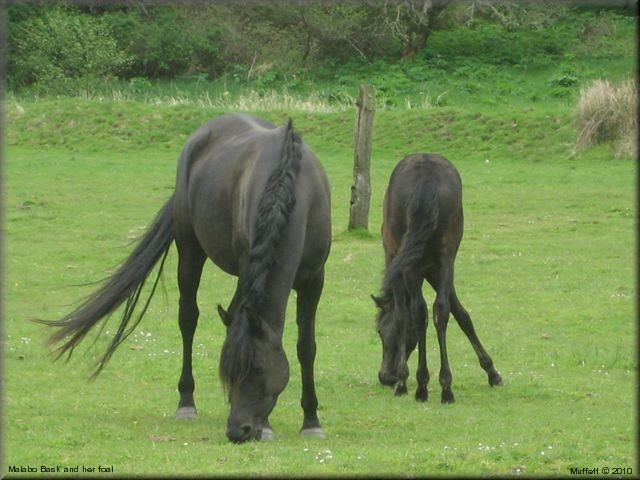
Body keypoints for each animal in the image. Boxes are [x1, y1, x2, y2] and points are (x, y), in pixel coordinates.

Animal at [36, 113, 331, 443]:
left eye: (257, 369)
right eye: (228, 372)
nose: (238, 430)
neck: (294, 191)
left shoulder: (314, 280)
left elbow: (306, 347)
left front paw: (311, 420)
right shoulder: (248, 267)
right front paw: (268, 426)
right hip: (190, 251)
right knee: (188, 318)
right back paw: (186, 403)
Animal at [372, 153, 502, 404]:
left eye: (381, 331)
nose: (385, 376)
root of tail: (426, 177)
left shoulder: (397, 263)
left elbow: (403, 316)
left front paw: (403, 380)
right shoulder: (435, 271)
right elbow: (460, 314)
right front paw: (491, 371)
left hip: (411, 265)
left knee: (419, 311)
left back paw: (420, 385)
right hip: (446, 257)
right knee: (440, 311)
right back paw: (446, 387)